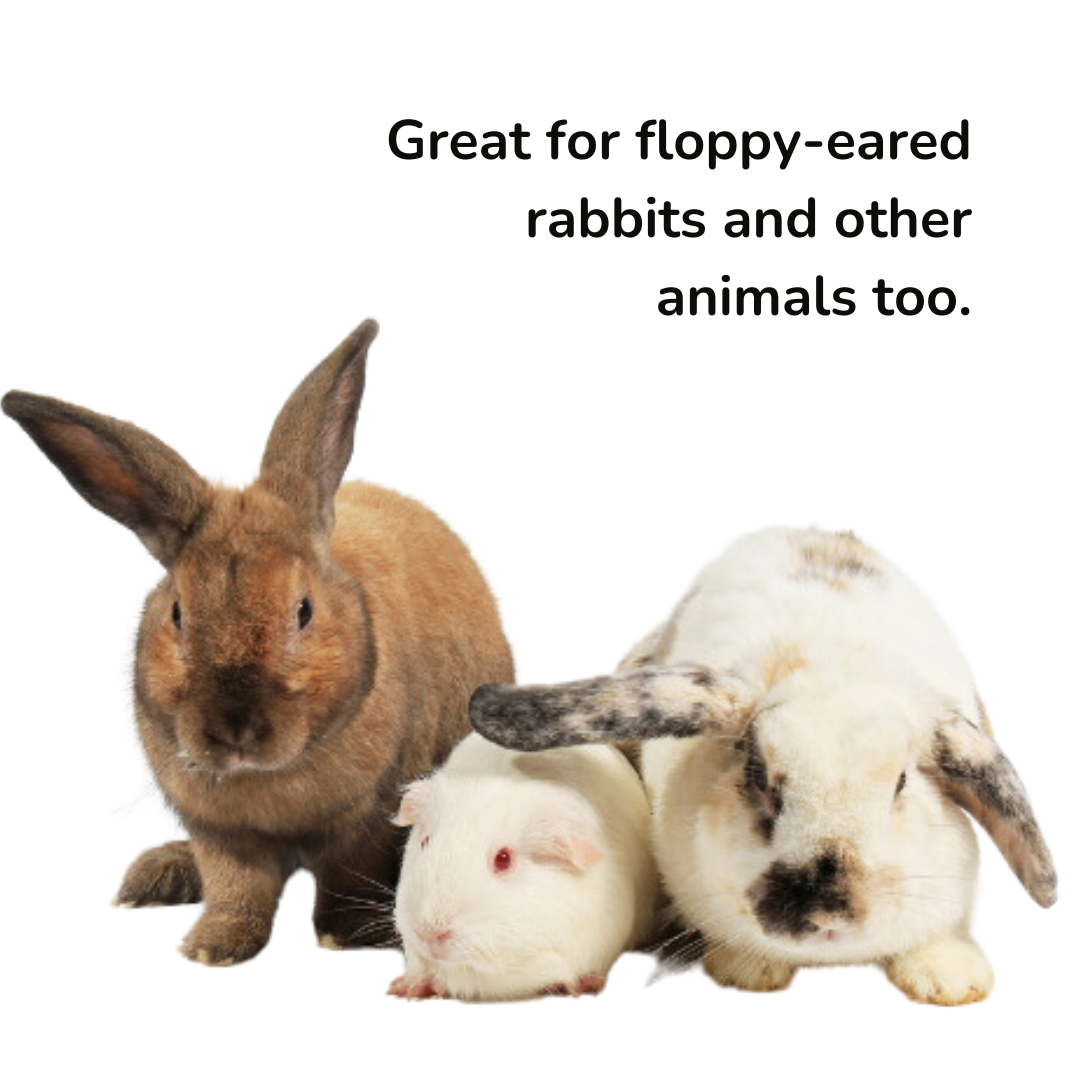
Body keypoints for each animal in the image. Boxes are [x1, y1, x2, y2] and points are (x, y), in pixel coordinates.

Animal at [2, 319, 514, 965]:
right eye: (177, 612)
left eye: (303, 610)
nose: (235, 730)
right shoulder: (219, 832)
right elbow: (236, 889)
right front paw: (212, 947)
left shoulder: (369, 820)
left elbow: (348, 876)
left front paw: (346, 937)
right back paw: (156, 875)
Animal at [470, 526, 1057, 1005]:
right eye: (758, 778)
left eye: (901, 783)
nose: (826, 915)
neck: (831, 665)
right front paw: (748, 970)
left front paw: (950, 979)